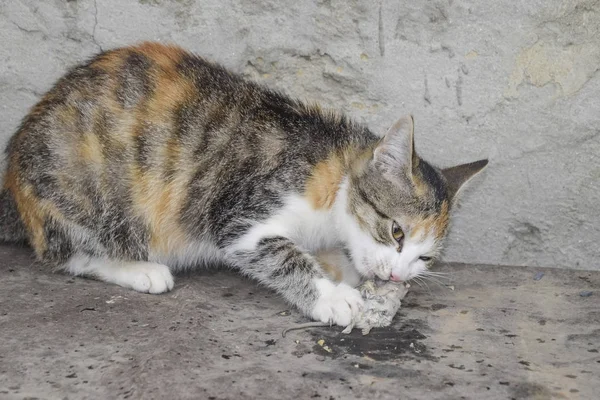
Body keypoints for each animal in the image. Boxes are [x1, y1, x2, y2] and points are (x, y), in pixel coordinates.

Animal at [0, 42, 488, 326]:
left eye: (425, 257)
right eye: (396, 231)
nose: (398, 273)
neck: (333, 177)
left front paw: (349, 273)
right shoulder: (241, 210)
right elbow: (278, 253)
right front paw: (332, 297)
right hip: (86, 193)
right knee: (68, 253)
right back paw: (140, 269)